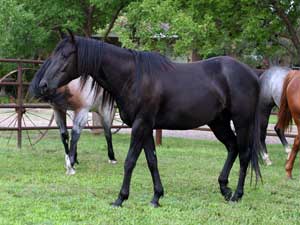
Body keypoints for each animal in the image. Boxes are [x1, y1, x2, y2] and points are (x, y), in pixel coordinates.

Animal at [34, 30, 262, 207]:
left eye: (66, 55)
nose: (44, 85)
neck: (133, 77)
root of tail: (251, 74)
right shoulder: (146, 127)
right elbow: (152, 160)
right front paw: (156, 197)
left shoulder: (140, 125)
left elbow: (130, 161)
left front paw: (120, 198)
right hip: (218, 122)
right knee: (232, 147)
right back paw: (224, 188)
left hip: (242, 122)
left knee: (244, 154)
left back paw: (237, 195)